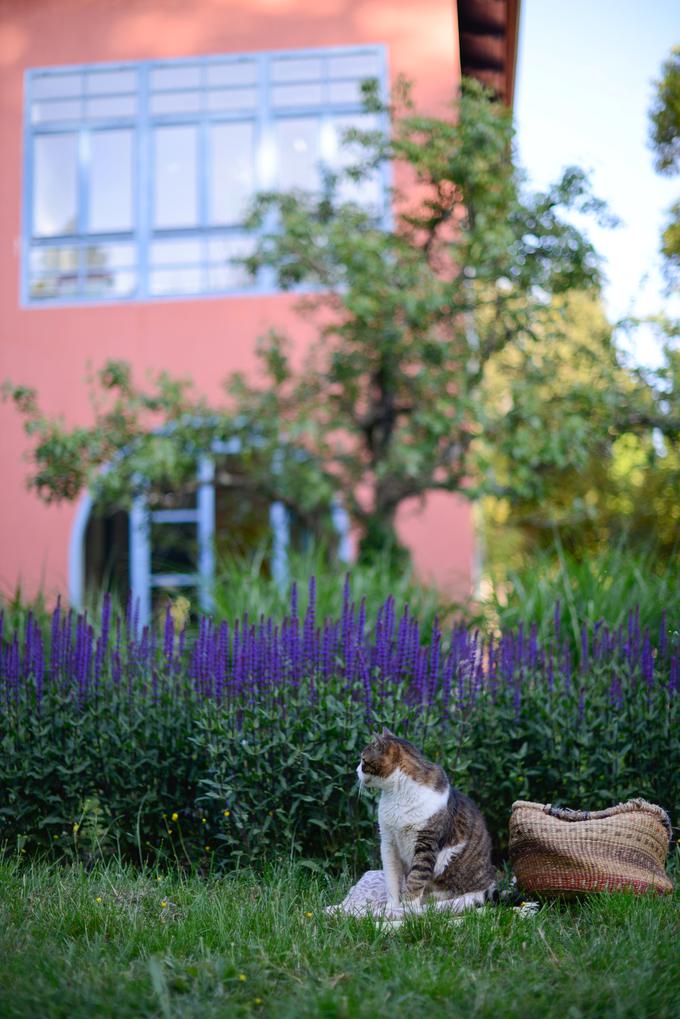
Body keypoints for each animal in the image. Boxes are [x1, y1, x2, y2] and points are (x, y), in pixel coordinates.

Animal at [356, 733, 495, 908]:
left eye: (363, 760)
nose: (356, 770)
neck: (396, 794)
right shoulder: (388, 841)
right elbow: (391, 877)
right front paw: (391, 907)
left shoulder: (426, 843)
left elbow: (416, 877)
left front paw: (407, 908)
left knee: (470, 897)